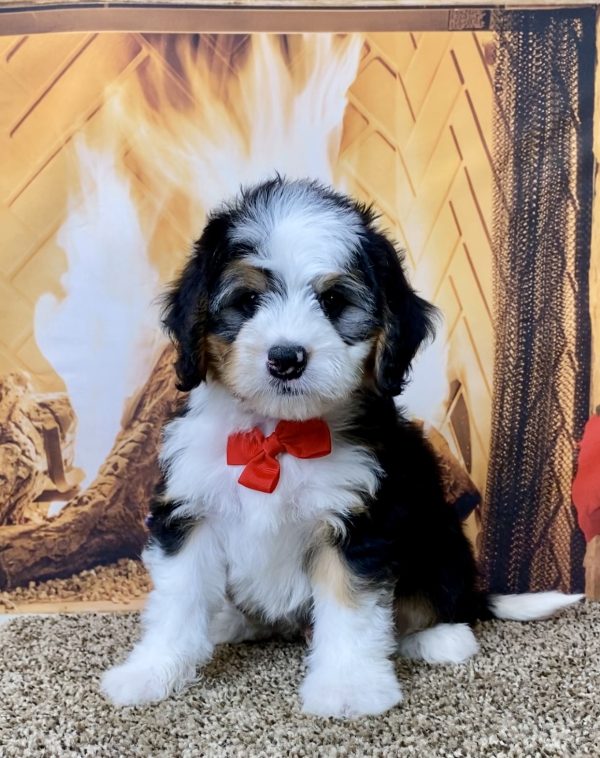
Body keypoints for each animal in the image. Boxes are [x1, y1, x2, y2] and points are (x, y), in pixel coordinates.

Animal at [102, 177, 580, 720]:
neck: (278, 435)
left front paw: (349, 687)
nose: (286, 358)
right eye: (247, 301)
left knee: (437, 602)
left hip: (440, 539)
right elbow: (178, 598)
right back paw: (229, 622)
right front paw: (151, 672)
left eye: (333, 301)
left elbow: (352, 610)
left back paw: (441, 638)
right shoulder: (190, 507)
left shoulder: (359, 522)